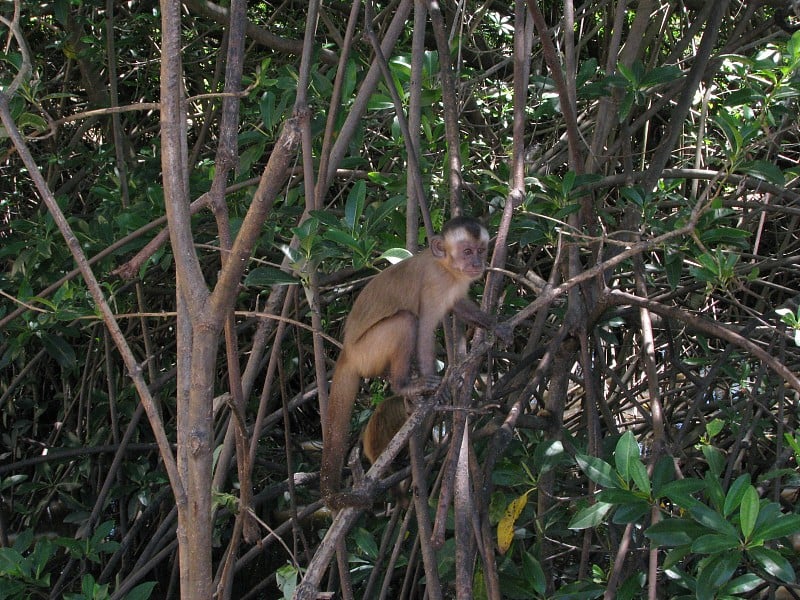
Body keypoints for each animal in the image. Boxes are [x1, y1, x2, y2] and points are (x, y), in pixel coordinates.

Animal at [322, 216, 510, 506]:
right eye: (467, 251)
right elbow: (423, 330)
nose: (478, 263)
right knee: (405, 321)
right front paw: (438, 392)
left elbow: (457, 305)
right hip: (366, 352)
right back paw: (405, 386)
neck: (445, 267)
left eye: (481, 250)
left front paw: (494, 326)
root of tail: (346, 353)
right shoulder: (435, 283)